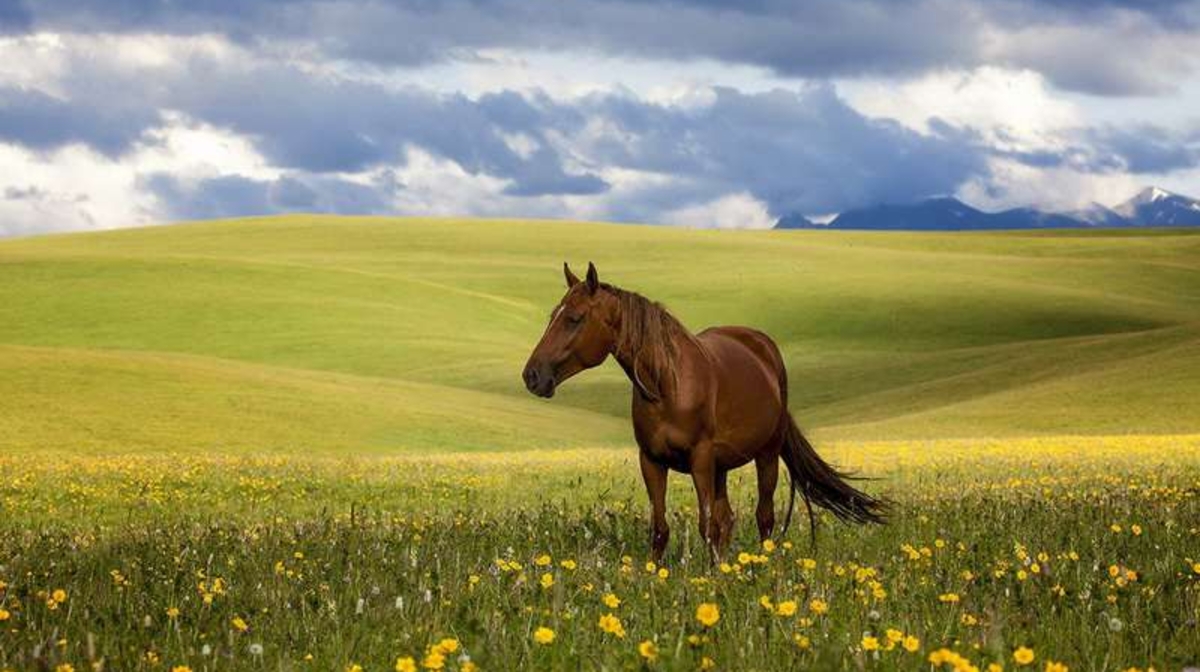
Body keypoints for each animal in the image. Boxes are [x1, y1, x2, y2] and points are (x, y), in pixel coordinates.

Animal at [520, 262, 888, 561]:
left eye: (574, 319)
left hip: (765, 455)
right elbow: (661, 528)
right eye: (552, 316)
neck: (667, 386)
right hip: (720, 467)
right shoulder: (651, 461)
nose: (532, 376)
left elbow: (706, 526)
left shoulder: (700, 459)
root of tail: (763, 347)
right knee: (727, 520)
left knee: (763, 517)